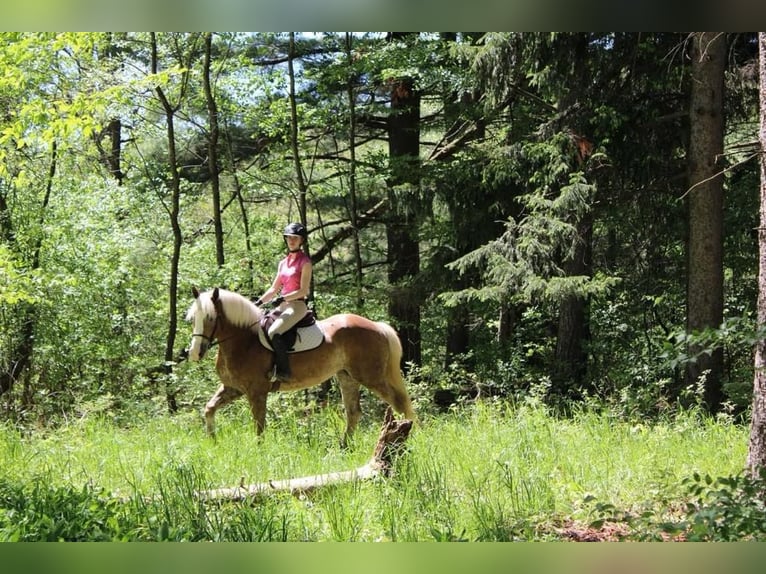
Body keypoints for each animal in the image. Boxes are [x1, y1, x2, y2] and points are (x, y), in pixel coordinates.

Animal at [184, 288, 416, 446]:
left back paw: (412, 435)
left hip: (371, 377)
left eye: (210, 318)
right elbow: (209, 409)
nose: (194, 353)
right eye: (192, 318)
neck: (243, 340)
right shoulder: (233, 388)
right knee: (354, 412)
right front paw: (212, 440)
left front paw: (259, 450)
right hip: (347, 377)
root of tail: (377, 326)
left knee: (399, 403)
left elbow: (259, 425)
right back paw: (344, 446)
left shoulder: (256, 391)